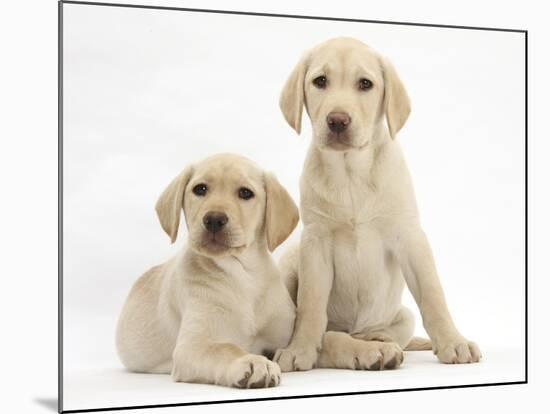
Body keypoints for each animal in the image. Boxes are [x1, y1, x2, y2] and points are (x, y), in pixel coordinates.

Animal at [114, 153, 300, 388]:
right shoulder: (191, 347)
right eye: (200, 189)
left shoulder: (282, 334)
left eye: (245, 193)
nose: (213, 219)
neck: (243, 274)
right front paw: (252, 362)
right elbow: (225, 348)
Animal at [276, 37, 484, 370]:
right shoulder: (316, 242)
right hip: (289, 266)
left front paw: (454, 341)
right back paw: (367, 349)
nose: (337, 120)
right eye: (320, 81)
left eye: (365, 84)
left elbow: (433, 294)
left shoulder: (410, 235)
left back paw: (379, 340)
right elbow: (311, 304)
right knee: (331, 334)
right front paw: (300, 347)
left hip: (403, 315)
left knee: (394, 330)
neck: (350, 173)